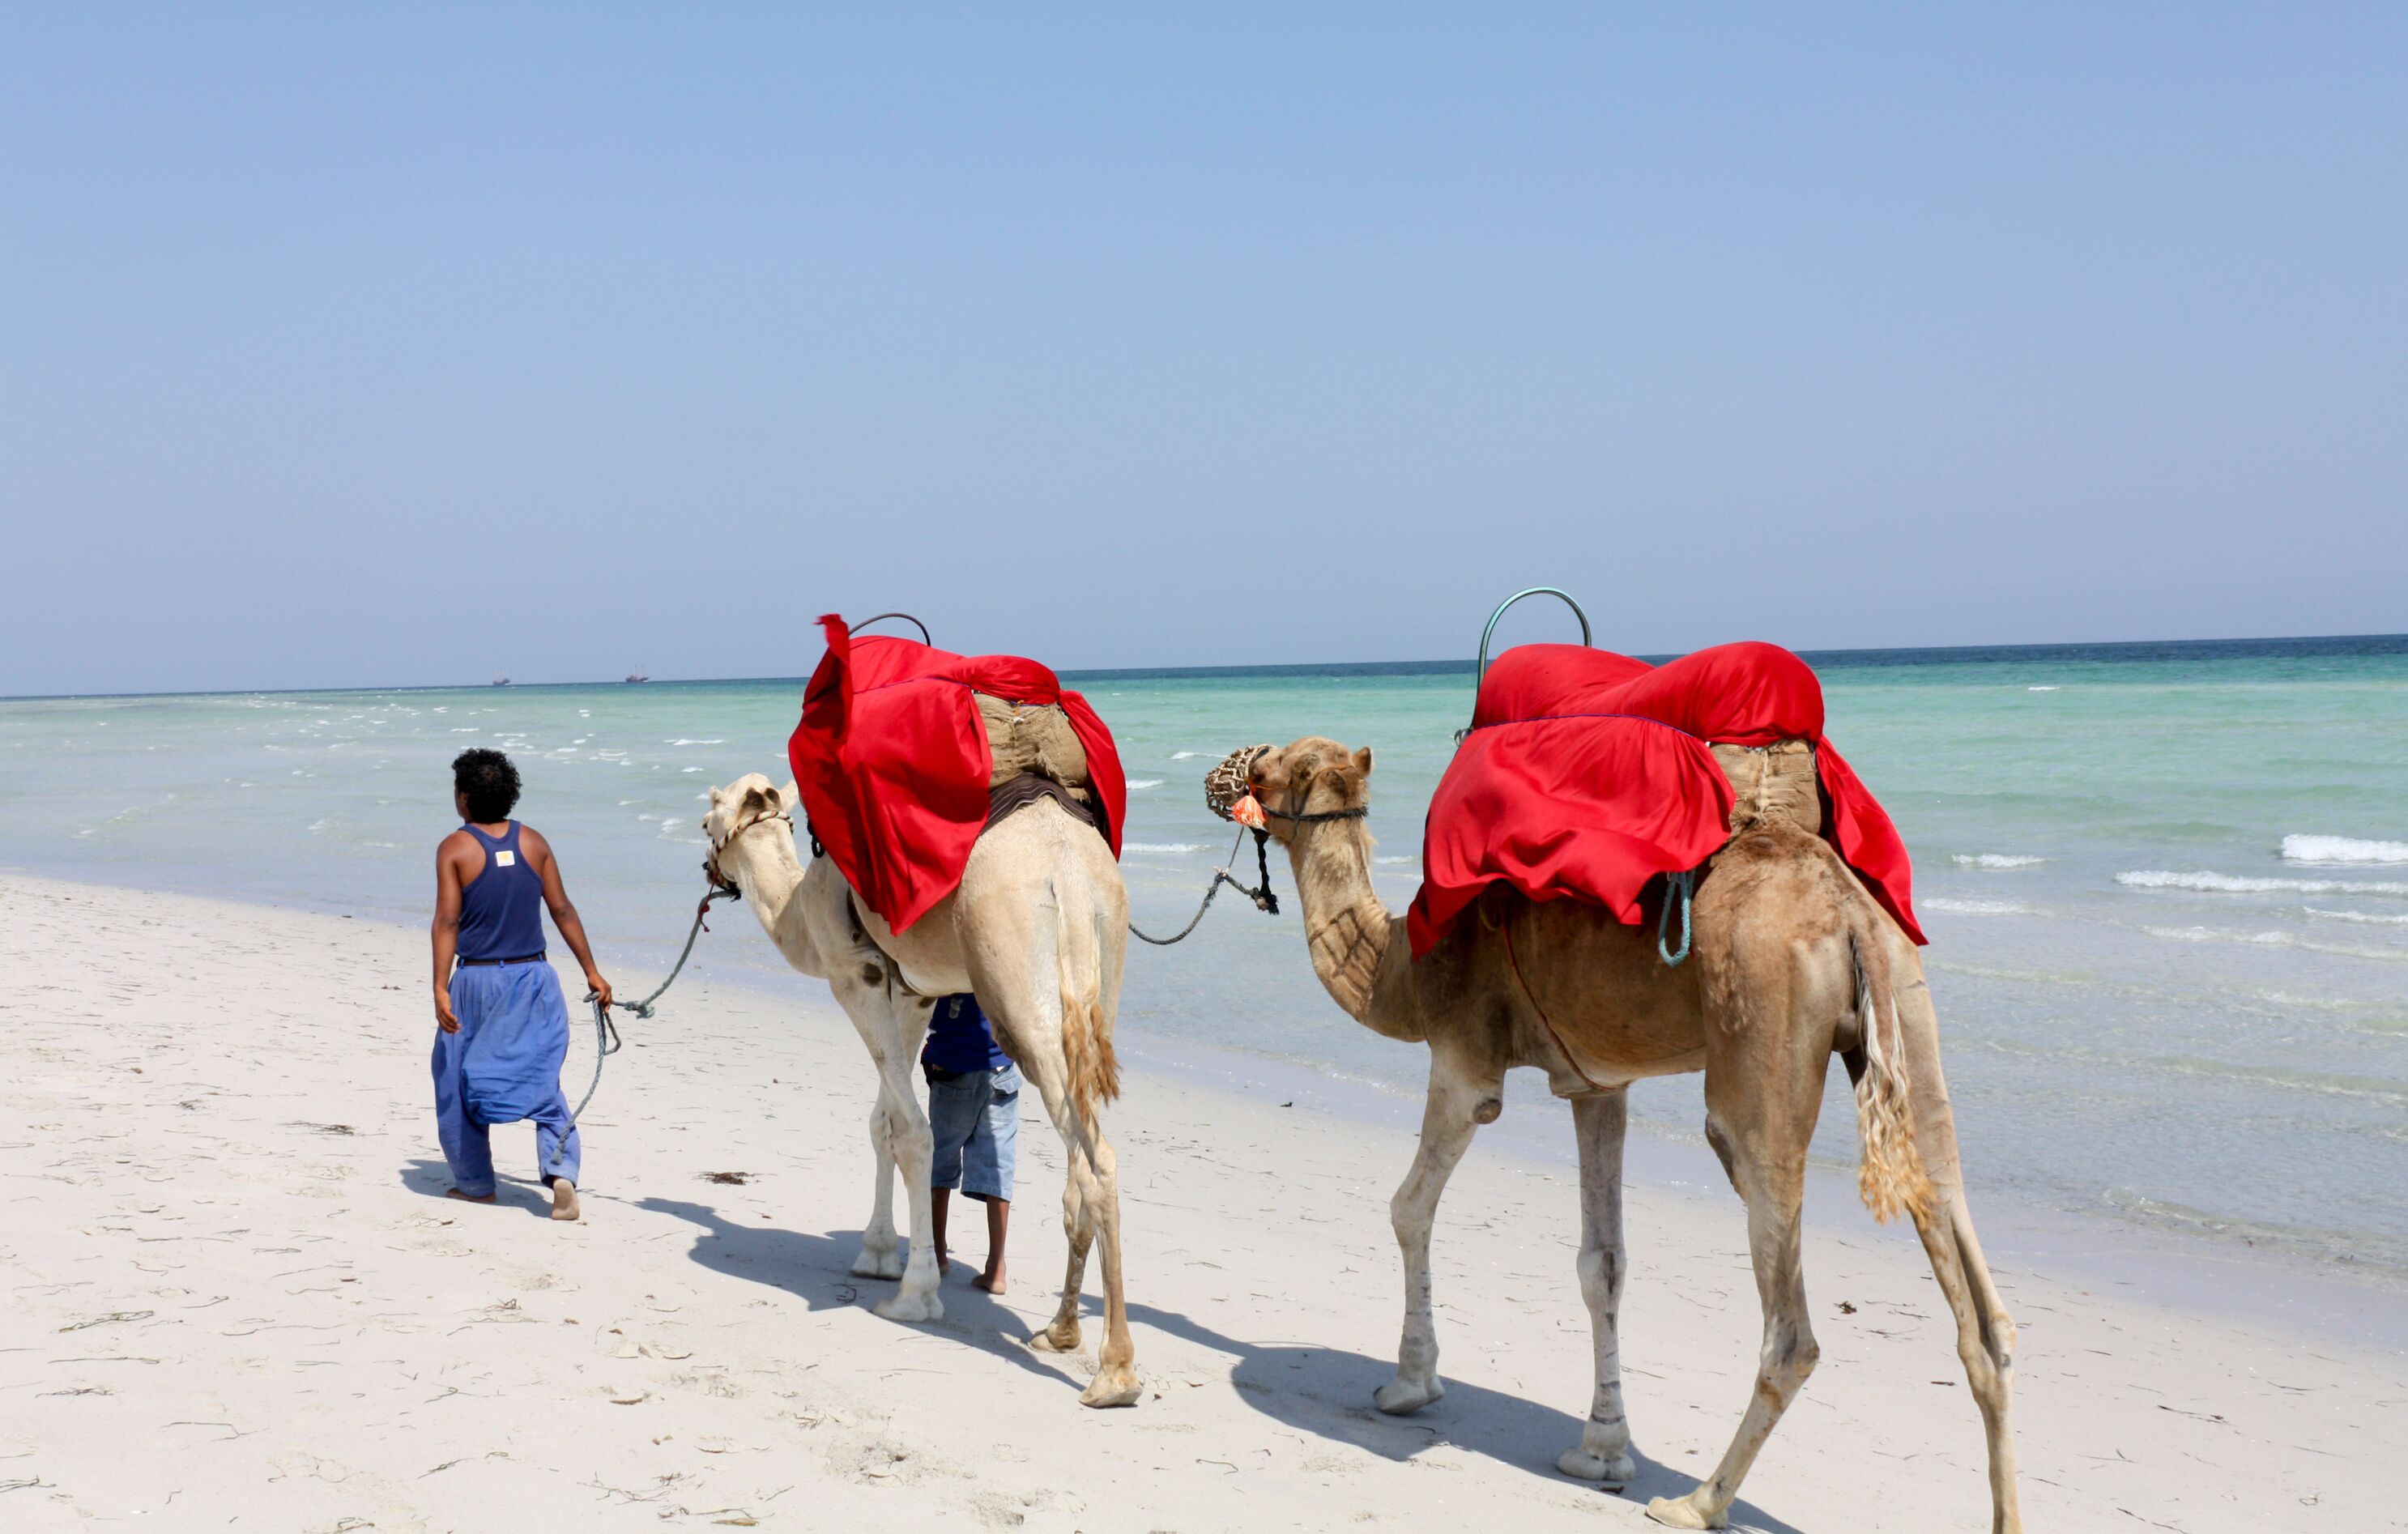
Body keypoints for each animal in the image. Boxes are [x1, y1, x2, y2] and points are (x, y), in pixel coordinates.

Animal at [700, 769, 1141, 1407]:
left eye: (707, 821)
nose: (710, 869)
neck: (800, 907)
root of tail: (1069, 871)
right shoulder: (911, 989)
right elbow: (883, 1120)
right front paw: (878, 1254)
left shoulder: (854, 974)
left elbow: (912, 1132)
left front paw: (913, 1294)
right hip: (1102, 958)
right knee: (1081, 1153)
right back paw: (1059, 1331)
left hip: (1016, 975)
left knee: (1094, 1153)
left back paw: (1113, 1374)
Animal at [1236, 736, 2020, 1531]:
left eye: (1267, 768)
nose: (1225, 773)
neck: (1400, 966)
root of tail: (1848, 914)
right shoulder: (1597, 1083)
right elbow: (1602, 1262)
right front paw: (1603, 1450)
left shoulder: (1463, 1061)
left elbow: (1408, 1208)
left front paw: (1409, 1384)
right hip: (1905, 1010)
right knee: (1966, 1263)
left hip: (1761, 1027)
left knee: (1787, 1309)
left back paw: (1698, 1502)